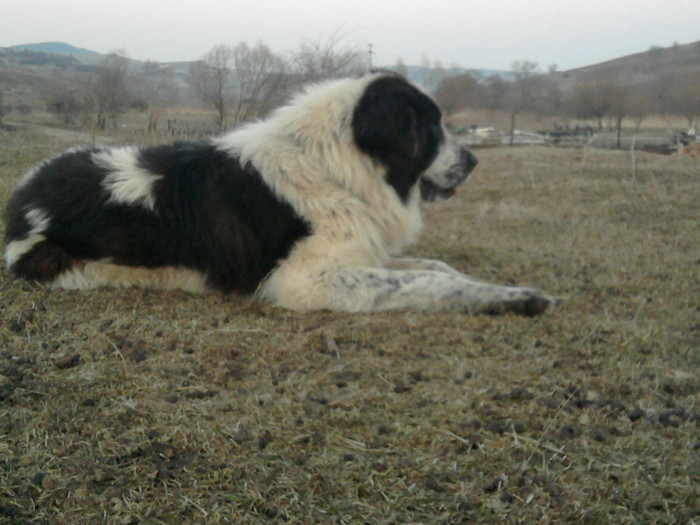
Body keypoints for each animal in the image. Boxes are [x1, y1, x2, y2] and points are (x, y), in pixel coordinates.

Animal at [4, 73, 552, 316]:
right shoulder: (304, 279)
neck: (334, 167)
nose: (475, 161)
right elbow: (426, 282)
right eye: (431, 127)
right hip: (72, 267)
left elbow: (435, 268)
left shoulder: (360, 249)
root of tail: (19, 200)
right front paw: (521, 299)